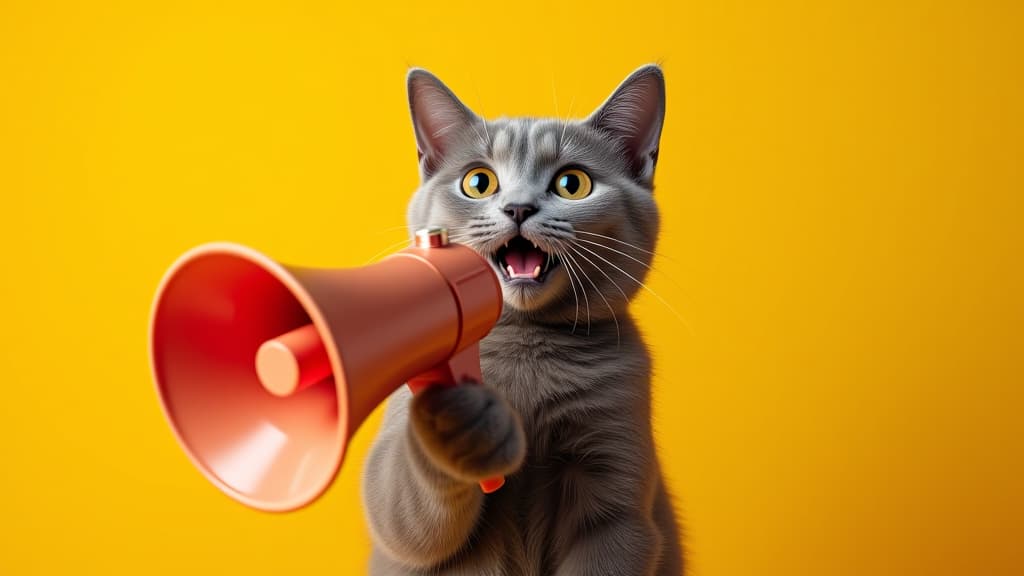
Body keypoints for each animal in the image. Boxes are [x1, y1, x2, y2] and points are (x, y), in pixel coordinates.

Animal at [360, 65, 679, 569]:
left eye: (572, 184)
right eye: (478, 182)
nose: (518, 207)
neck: (526, 346)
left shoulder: (616, 497)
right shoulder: (395, 499)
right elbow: (402, 517)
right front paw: (464, 419)